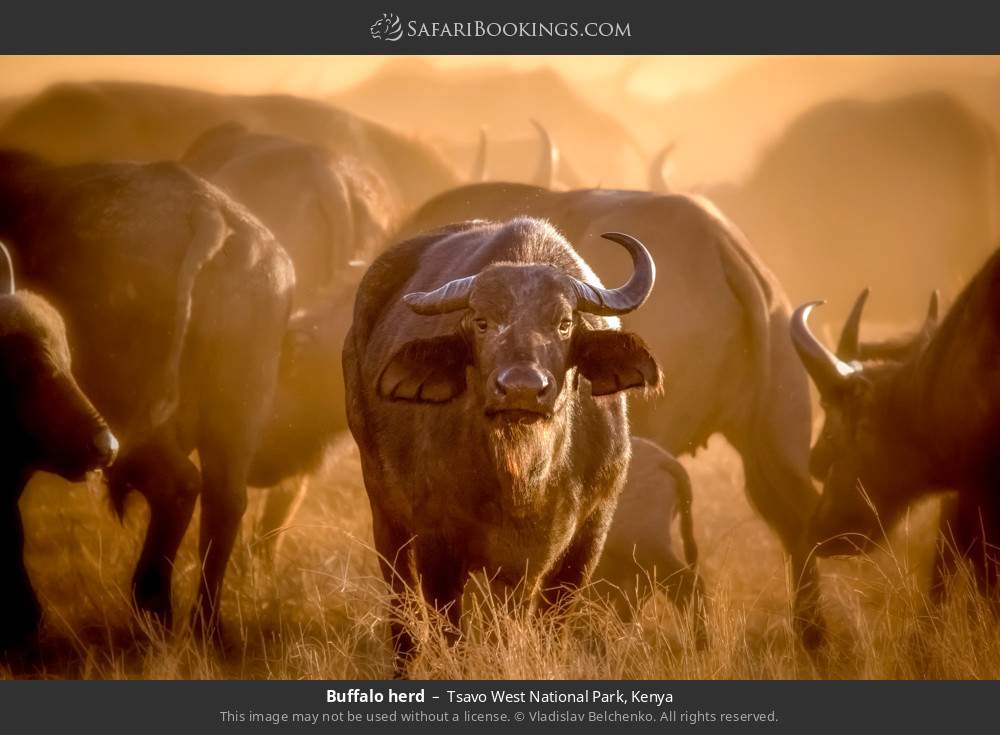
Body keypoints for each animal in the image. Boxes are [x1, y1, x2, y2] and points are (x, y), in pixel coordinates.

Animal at [346, 217, 664, 672]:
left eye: (564, 323)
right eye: (481, 322)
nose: (521, 389)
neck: (523, 478)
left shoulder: (584, 539)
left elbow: (542, 630)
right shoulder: (436, 544)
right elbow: (451, 635)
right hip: (383, 510)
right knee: (403, 613)